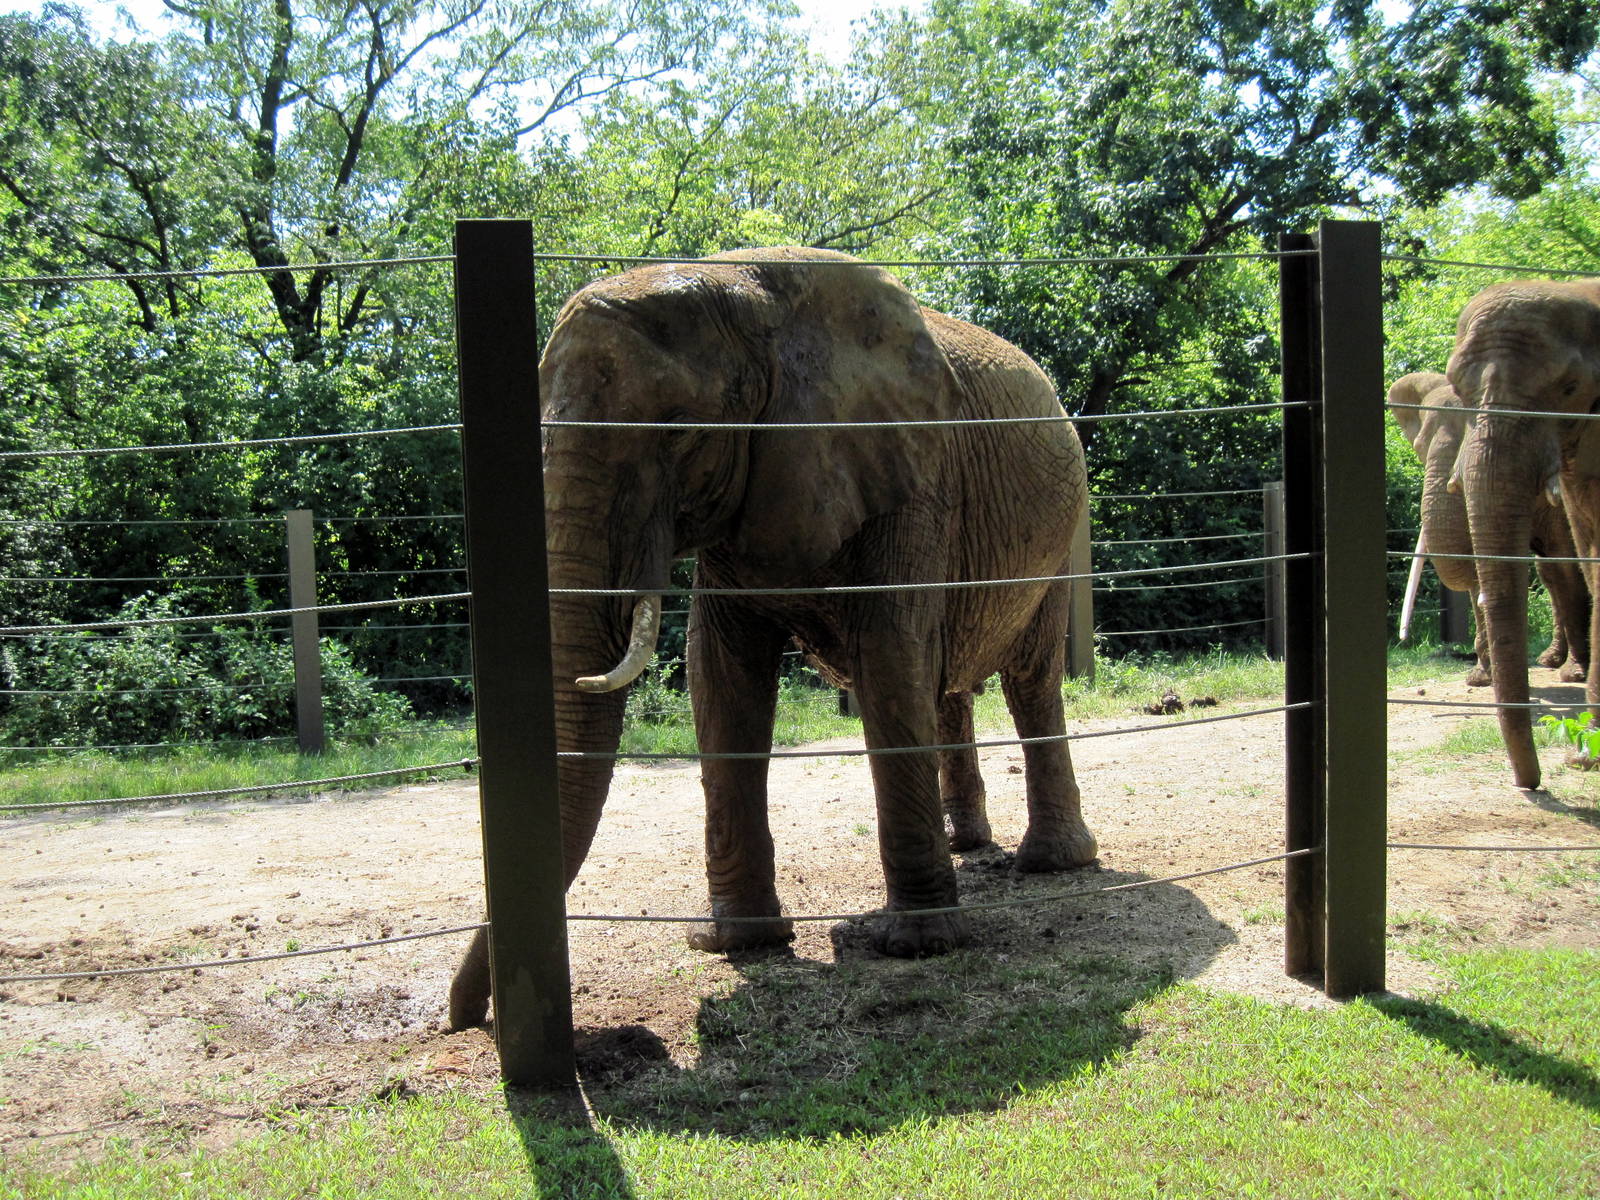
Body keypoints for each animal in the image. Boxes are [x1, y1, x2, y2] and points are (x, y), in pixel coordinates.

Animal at [448, 247, 1098, 1029]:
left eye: (679, 430)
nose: (464, 1018)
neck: (746, 295)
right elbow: (722, 676)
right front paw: (735, 943)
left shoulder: (907, 474)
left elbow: (887, 656)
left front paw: (918, 947)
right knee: (946, 681)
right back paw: (967, 846)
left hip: (1062, 531)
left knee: (1027, 679)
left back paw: (1052, 863)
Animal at [1387, 370, 1589, 688]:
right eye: (1420, 447)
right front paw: (1480, 679)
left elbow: (1567, 562)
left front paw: (1576, 675)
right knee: (1547, 570)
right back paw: (1549, 659)